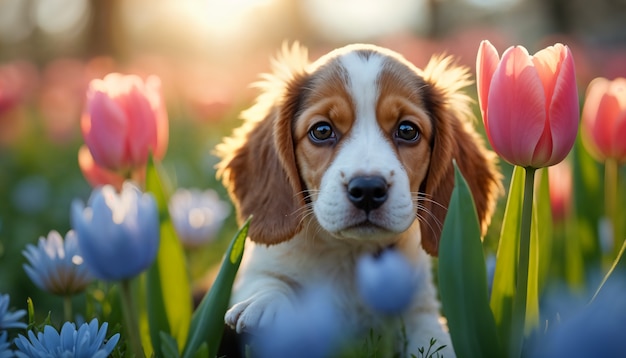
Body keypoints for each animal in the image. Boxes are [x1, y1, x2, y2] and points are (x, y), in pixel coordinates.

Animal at [217, 42, 500, 356]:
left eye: (407, 130)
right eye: (322, 130)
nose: (367, 189)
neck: (349, 254)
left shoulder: (420, 308)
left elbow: (431, 336)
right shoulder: (258, 270)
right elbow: (268, 281)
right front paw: (267, 303)